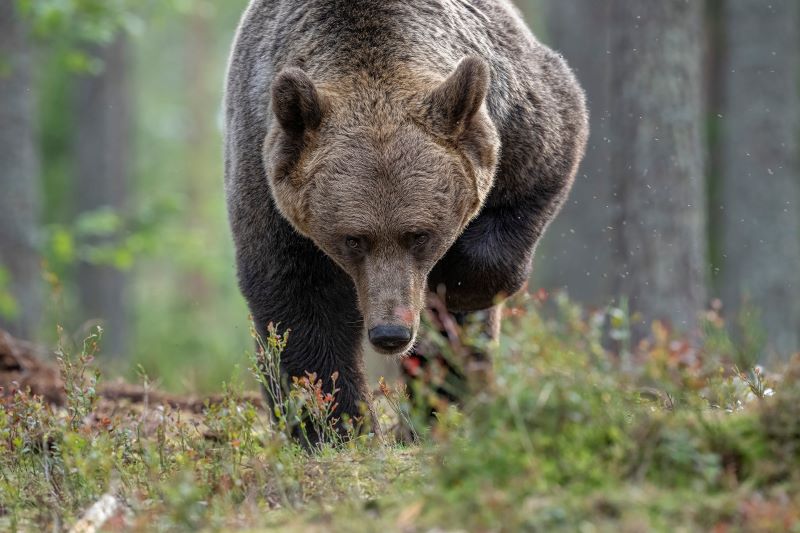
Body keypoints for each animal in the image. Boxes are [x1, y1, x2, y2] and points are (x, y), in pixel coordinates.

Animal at [225, 0, 588, 436]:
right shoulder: (266, 174)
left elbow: (549, 156)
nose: (391, 333)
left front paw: (458, 284)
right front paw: (336, 425)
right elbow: (299, 299)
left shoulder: (516, 113)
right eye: (353, 238)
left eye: (419, 234)